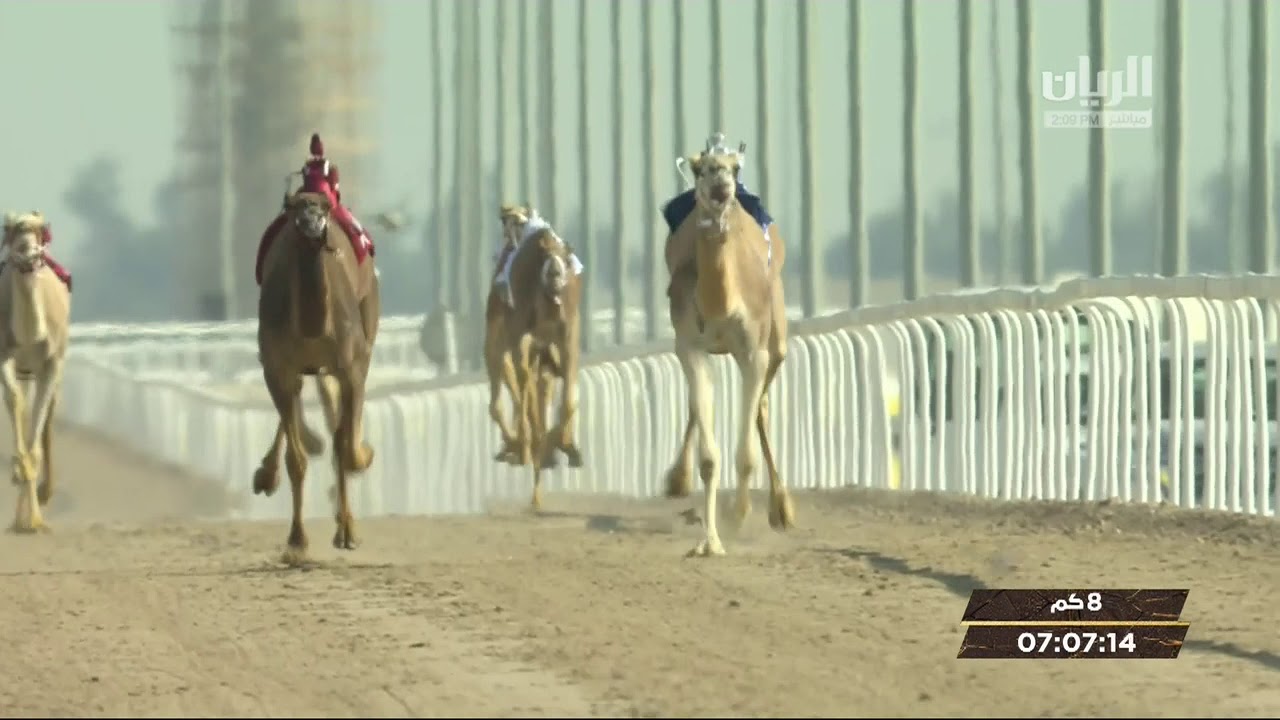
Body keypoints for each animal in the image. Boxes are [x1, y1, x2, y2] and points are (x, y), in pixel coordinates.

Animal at [254, 191, 380, 563]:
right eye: (295, 207)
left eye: (324, 207)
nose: (311, 222)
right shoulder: (277, 367)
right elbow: (296, 459)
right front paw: (297, 541)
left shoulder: (352, 367)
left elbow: (347, 448)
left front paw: (349, 532)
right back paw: (268, 473)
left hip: (367, 328)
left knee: (336, 424)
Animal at [662, 143, 795, 557]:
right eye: (700, 169)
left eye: (734, 168)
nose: (721, 183)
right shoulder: (690, 346)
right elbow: (709, 458)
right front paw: (710, 541)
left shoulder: (754, 351)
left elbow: (746, 453)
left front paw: (739, 515)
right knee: (699, 406)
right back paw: (677, 480)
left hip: (776, 337)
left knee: (762, 406)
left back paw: (781, 508)